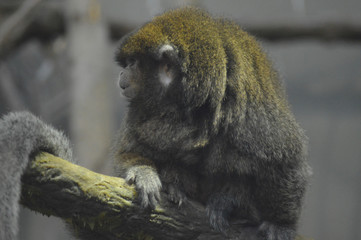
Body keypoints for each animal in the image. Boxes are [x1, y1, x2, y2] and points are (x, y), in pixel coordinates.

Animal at [114, 6, 310, 239]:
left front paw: (280, 224)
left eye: (133, 63)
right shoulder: (139, 111)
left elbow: (284, 160)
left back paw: (229, 200)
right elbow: (130, 151)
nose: (122, 74)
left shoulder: (251, 113)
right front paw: (143, 173)